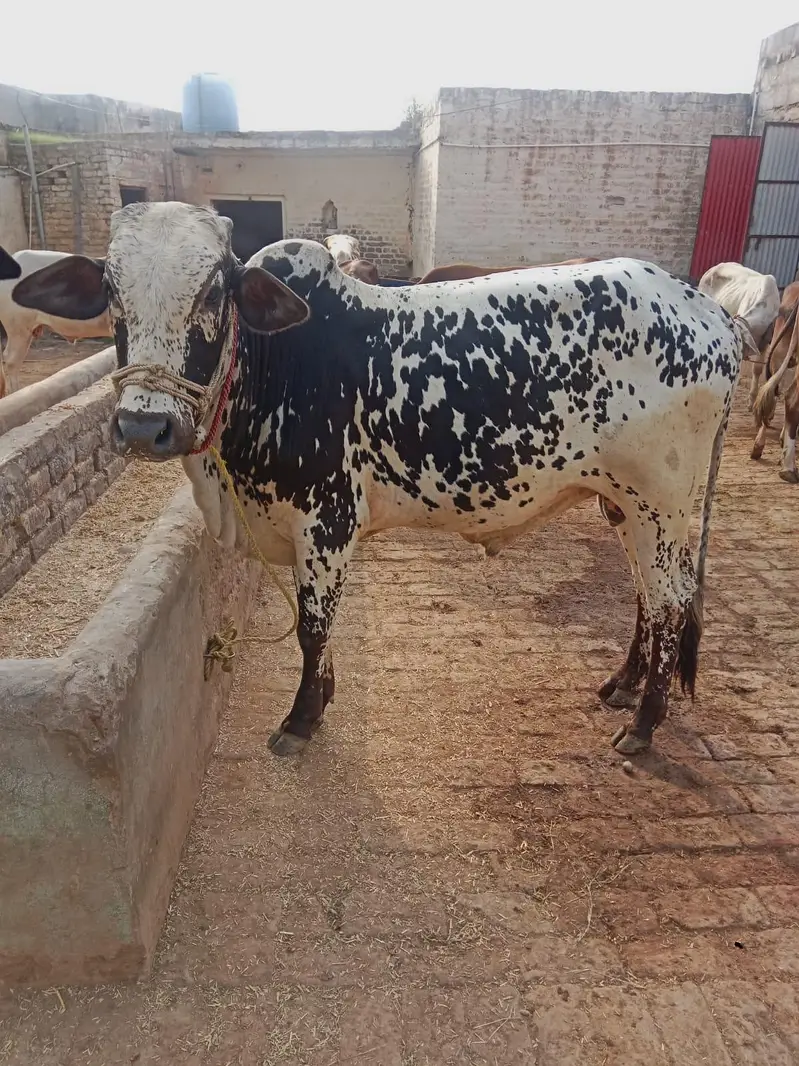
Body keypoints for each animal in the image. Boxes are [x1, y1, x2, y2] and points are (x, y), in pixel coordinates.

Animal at [12, 202, 750, 760]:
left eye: (214, 292)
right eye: (112, 293)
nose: (146, 426)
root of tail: (706, 310)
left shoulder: (325, 521)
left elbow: (313, 627)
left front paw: (301, 719)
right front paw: (322, 697)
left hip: (662, 504)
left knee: (671, 604)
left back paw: (643, 725)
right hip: (626, 505)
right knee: (649, 598)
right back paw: (621, 686)